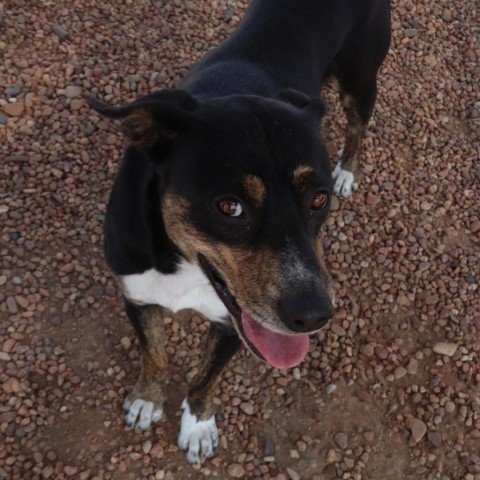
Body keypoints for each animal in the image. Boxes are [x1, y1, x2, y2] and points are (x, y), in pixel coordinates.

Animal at [88, 0, 392, 464]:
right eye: (229, 206)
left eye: (318, 199)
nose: (312, 316)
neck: (182, 263)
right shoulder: (137, 295)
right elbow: (155, 354)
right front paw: (147, 401)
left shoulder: (234, 324)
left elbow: (206, 377)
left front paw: (197, 427)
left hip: (360, 79)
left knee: (358, 125)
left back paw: (348, 170)